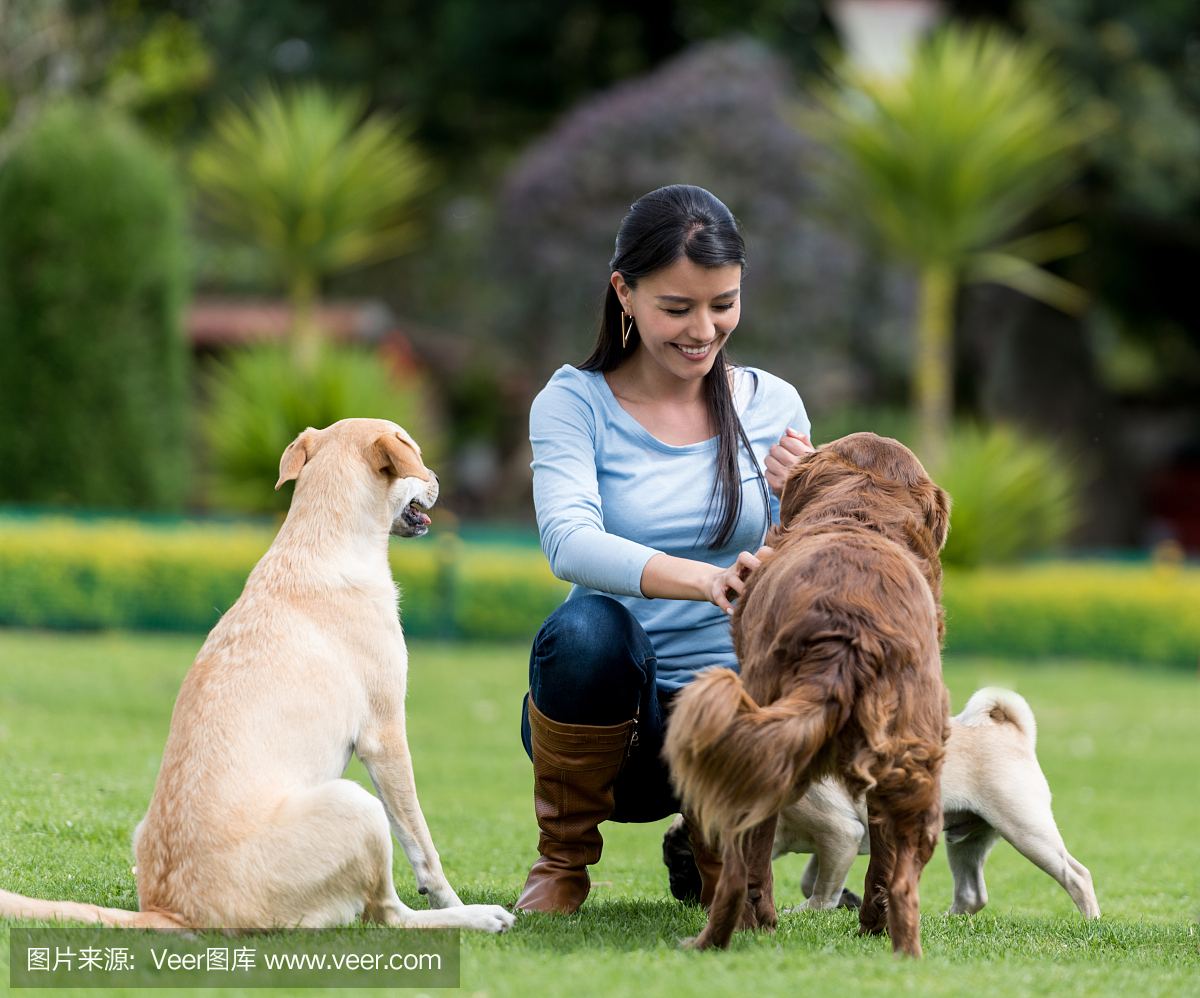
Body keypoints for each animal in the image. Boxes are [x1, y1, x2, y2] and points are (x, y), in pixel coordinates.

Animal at [1, 417, 516, 930]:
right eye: (415, 453)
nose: (437, 479)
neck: (319, 540)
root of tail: (172, 911)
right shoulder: (385, 734)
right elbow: (422, 844)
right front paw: (451, 899)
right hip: (356, 805)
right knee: (386, 915)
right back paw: (477, 916)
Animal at [667, 431, 945, 954]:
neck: (861, 517)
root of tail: (850, 631)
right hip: (911, 762)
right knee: (899, 881)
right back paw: (898, 949)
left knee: (739, 875)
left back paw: (714, 939)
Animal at [772, 686, 1099, 921]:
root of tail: (1009, 731)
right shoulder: (837, 842)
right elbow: (813, 878)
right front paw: (847, 899)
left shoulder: (841, 833)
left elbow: (822, 891)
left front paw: (803, 912)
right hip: (968, 841)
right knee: (972, 894)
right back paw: (943, 920)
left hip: (1025, 829)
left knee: (1076, 876)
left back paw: (1090, 922)